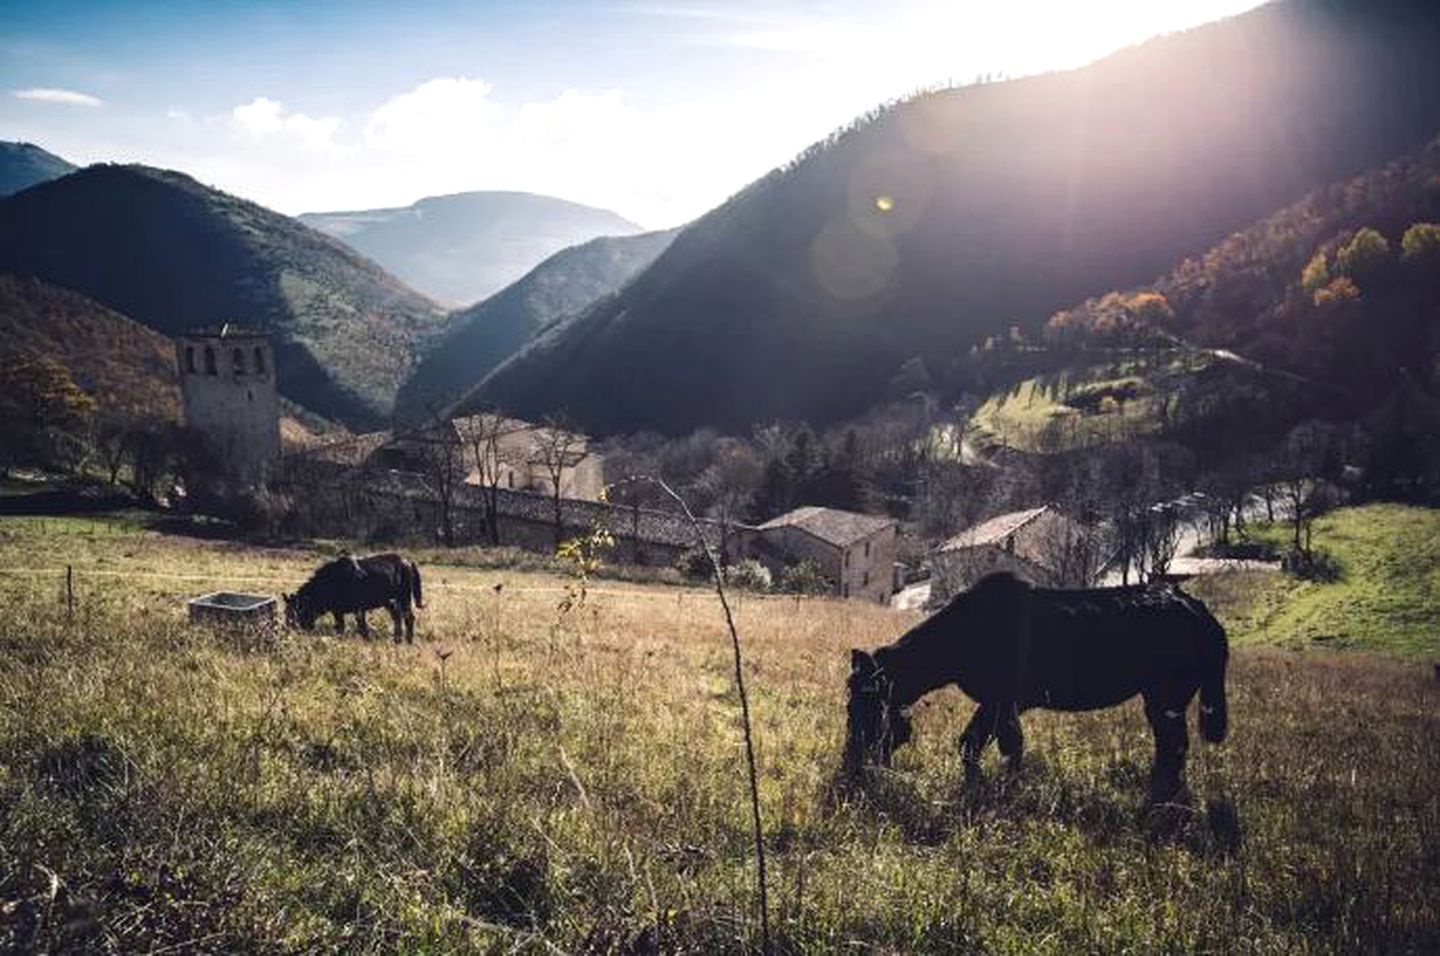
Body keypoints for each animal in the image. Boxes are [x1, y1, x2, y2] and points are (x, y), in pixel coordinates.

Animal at [282, 552, 423, 642]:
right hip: (390, 602)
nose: (290, 631)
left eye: (296, 612)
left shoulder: (358, 609)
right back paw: (397, 639)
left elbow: (361, 628)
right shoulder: (338, 611)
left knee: (409, 617)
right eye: (286, 612)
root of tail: (409, 563)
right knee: (397, 618)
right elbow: (342, 628)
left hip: (404, 598)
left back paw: (409, 640)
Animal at [846, 570, 1232, 800]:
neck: (961, 636)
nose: (851, 767)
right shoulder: (996, 702)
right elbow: (971, 744)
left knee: (1174, 748)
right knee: (1170, 749)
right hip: (1164, 701)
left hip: (1165, 698)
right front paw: (976, 789)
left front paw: (1007, 792)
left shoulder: (1003, 701)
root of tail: (1205, 616)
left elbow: (1008, 749)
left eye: (863, 707)